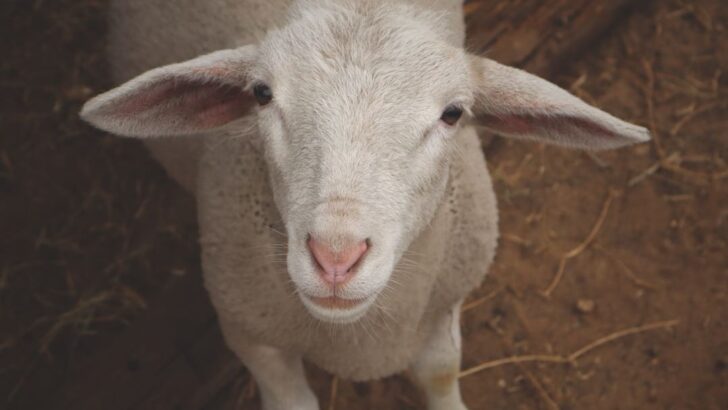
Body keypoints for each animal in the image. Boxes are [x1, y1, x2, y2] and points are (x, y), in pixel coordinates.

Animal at [80, 0, 650, 408]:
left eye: (452, 114)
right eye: (262, 94)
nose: (336, 258)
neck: (359, 338)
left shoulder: (445, 300)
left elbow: (440, 372)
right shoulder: (249, 333)